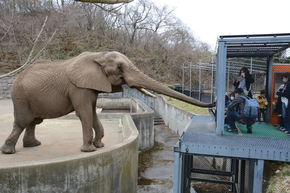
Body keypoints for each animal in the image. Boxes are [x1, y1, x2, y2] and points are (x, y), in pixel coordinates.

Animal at [0, 51, 215, 154]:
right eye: (120, 67)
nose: (213, 105)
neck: (97, 55)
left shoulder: (92, 85)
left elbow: (93, 110)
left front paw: (100, 146)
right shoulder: (78, 87)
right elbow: (84, 112)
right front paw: (88, 150)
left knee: (33, 122)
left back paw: (33, 145)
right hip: (21, 97)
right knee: (22, 121)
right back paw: (10, 152)